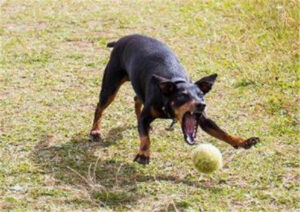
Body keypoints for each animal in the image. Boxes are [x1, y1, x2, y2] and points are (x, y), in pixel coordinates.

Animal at [90, 34, 258, 164]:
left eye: (201, 95)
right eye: (183, 96)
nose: (202, 105)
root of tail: (121, 39)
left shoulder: (203, 120)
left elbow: (222, 133)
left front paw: (243, 141)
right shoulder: (146, 116)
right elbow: (145, 138)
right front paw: (144, 154)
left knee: (136, 97)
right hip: (110, 87)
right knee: (100, 107)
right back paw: (95, 131)